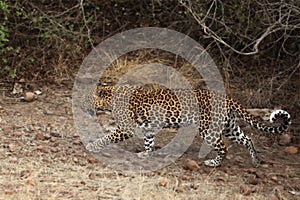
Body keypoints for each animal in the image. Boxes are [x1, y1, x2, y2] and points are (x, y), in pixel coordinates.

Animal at [82, 84, 290, 167]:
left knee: (223, 148)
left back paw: (212, 163)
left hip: (208, 129)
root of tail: (228, 98)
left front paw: (93, 145)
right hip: (229, 127)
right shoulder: (149, 127)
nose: (79, 104)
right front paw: (146, 154)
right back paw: (255, 161)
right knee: (247, 139)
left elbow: (108, 136)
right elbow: (149, 142)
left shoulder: (127, 127)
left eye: (87, 98)